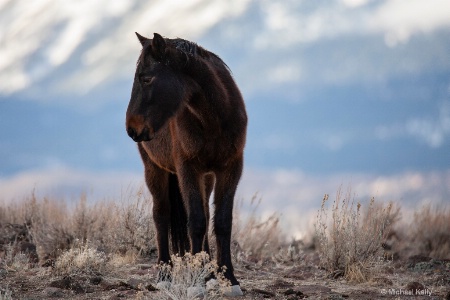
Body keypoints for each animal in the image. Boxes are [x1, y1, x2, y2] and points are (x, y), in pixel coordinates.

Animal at [125, 32, 248, 292]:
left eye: (147, 78)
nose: (131, 127)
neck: (214, 120)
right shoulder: (187, 170)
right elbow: (196, 222)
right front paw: (196, 280)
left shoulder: (230, 168)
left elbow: (221, 222)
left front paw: (228, 279)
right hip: (154, 170)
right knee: (161, 215)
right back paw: (164, 274)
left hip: (207, 177)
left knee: (204, 212)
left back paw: (207, 271)